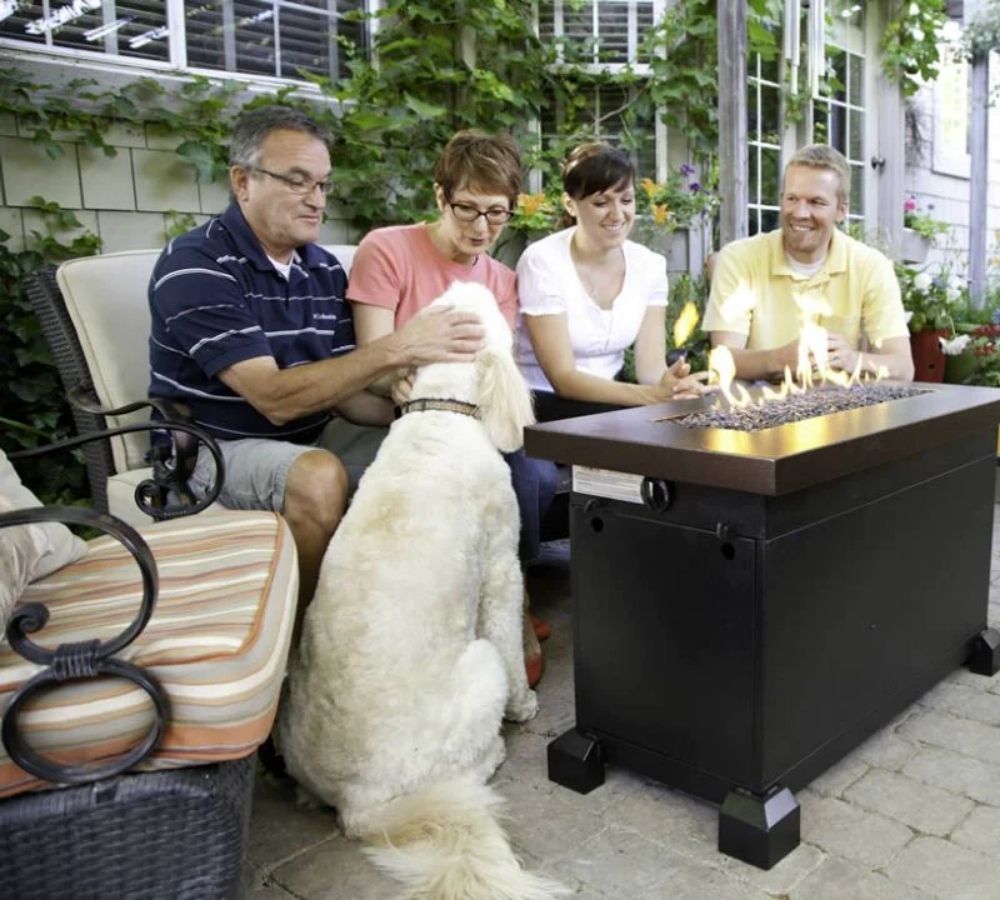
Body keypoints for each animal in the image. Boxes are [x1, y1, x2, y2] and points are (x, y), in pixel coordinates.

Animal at [282, 282, 568, 900]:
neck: (440, 411)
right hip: (479, 670)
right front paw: (526, 704)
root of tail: (356, 803)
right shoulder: (501, 568)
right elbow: (510, 638)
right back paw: (495, 750)